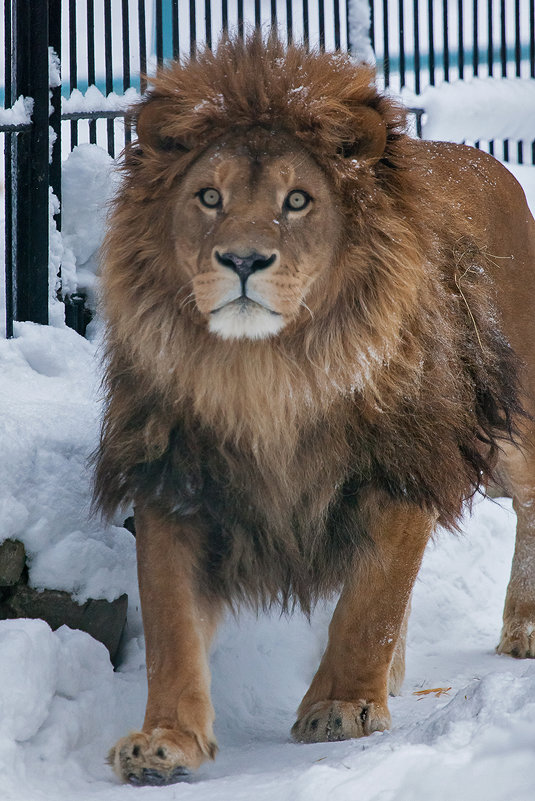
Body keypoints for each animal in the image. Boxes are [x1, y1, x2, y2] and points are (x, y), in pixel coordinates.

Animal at [95, 34, 535, 784]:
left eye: (297, 200)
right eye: (208, 196)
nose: (244, 260)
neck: (265, 374)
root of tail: (486, 159)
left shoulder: (405, 460)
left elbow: (370, 602)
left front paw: (341, 706)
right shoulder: (175, 477)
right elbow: (170, 624)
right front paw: (163, 741)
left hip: (507, 422)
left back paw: (524, 628)